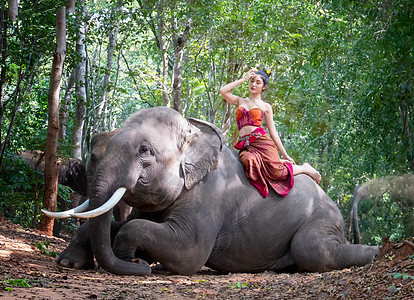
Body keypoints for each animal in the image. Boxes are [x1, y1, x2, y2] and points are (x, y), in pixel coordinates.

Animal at [42, 106, 378, 276]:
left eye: (144, 150)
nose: (141, 266)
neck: (195, 131)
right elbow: (126, 223)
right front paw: (69, 264)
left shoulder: (209, 194)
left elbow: (188, 253)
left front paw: (135, 260)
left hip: (321, 220)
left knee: (310, 248)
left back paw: (378, 252)